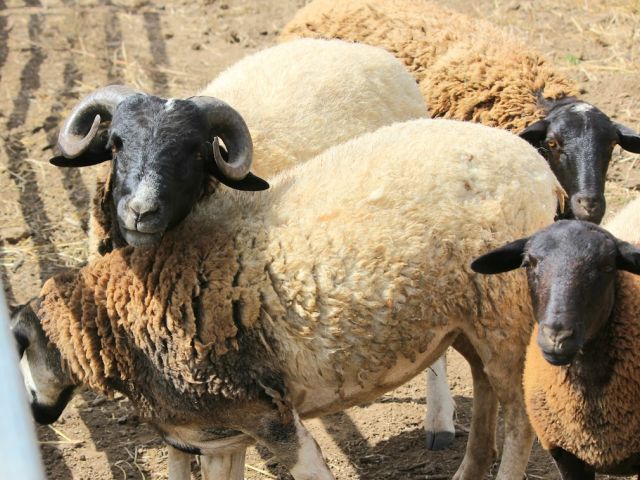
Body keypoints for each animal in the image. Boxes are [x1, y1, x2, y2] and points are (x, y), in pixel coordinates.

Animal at [15, 118, 564, 480]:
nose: (35, 415)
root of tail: (534, 164)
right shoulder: (222, 435)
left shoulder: (270, 417)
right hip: (470, 317)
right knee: (485, 387)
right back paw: (468, 471)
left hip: (506, 312)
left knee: (520, 420)